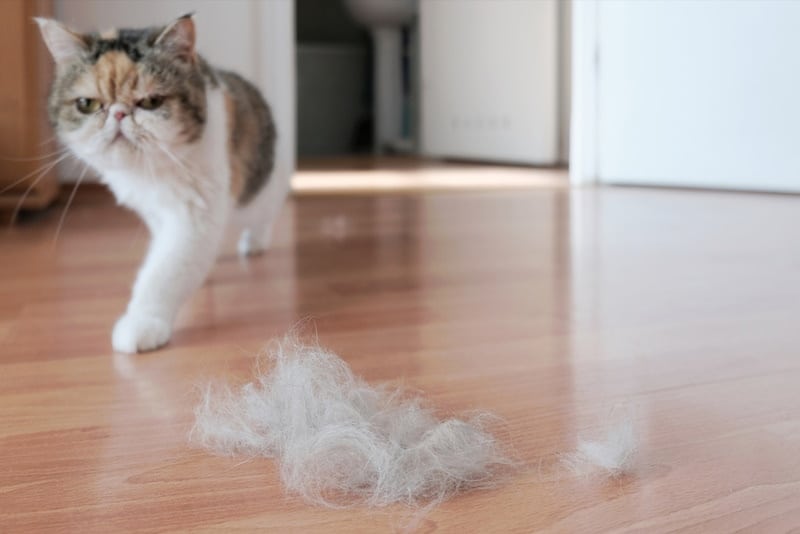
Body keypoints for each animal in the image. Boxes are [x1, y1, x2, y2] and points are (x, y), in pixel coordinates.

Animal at [35, 14, 284, 354]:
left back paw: (255, 242)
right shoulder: (154, 212)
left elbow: (164, 271)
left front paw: (142, 323)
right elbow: (171, 256)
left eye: (151, 101)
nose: (118, 113)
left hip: (257, 193)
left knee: (265, 212)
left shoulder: (195, 214)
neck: (146, 173)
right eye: (87, 104)